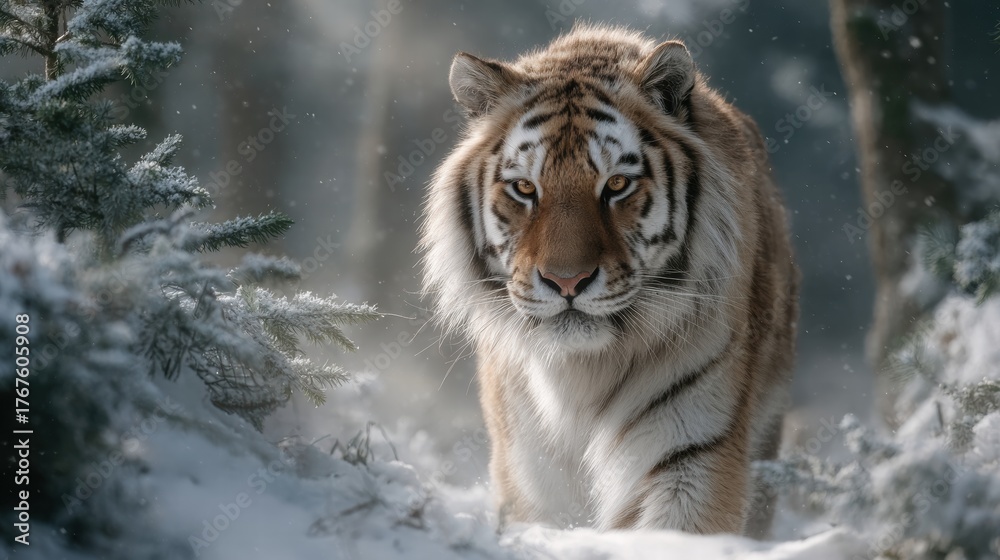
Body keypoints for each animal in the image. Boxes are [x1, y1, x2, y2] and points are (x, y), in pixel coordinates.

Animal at [419, 24, 799, 537]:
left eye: (617, 185)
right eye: (525, 188)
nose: (567, 282)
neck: (582, 376)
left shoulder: (692, 450)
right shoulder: (528, 470)